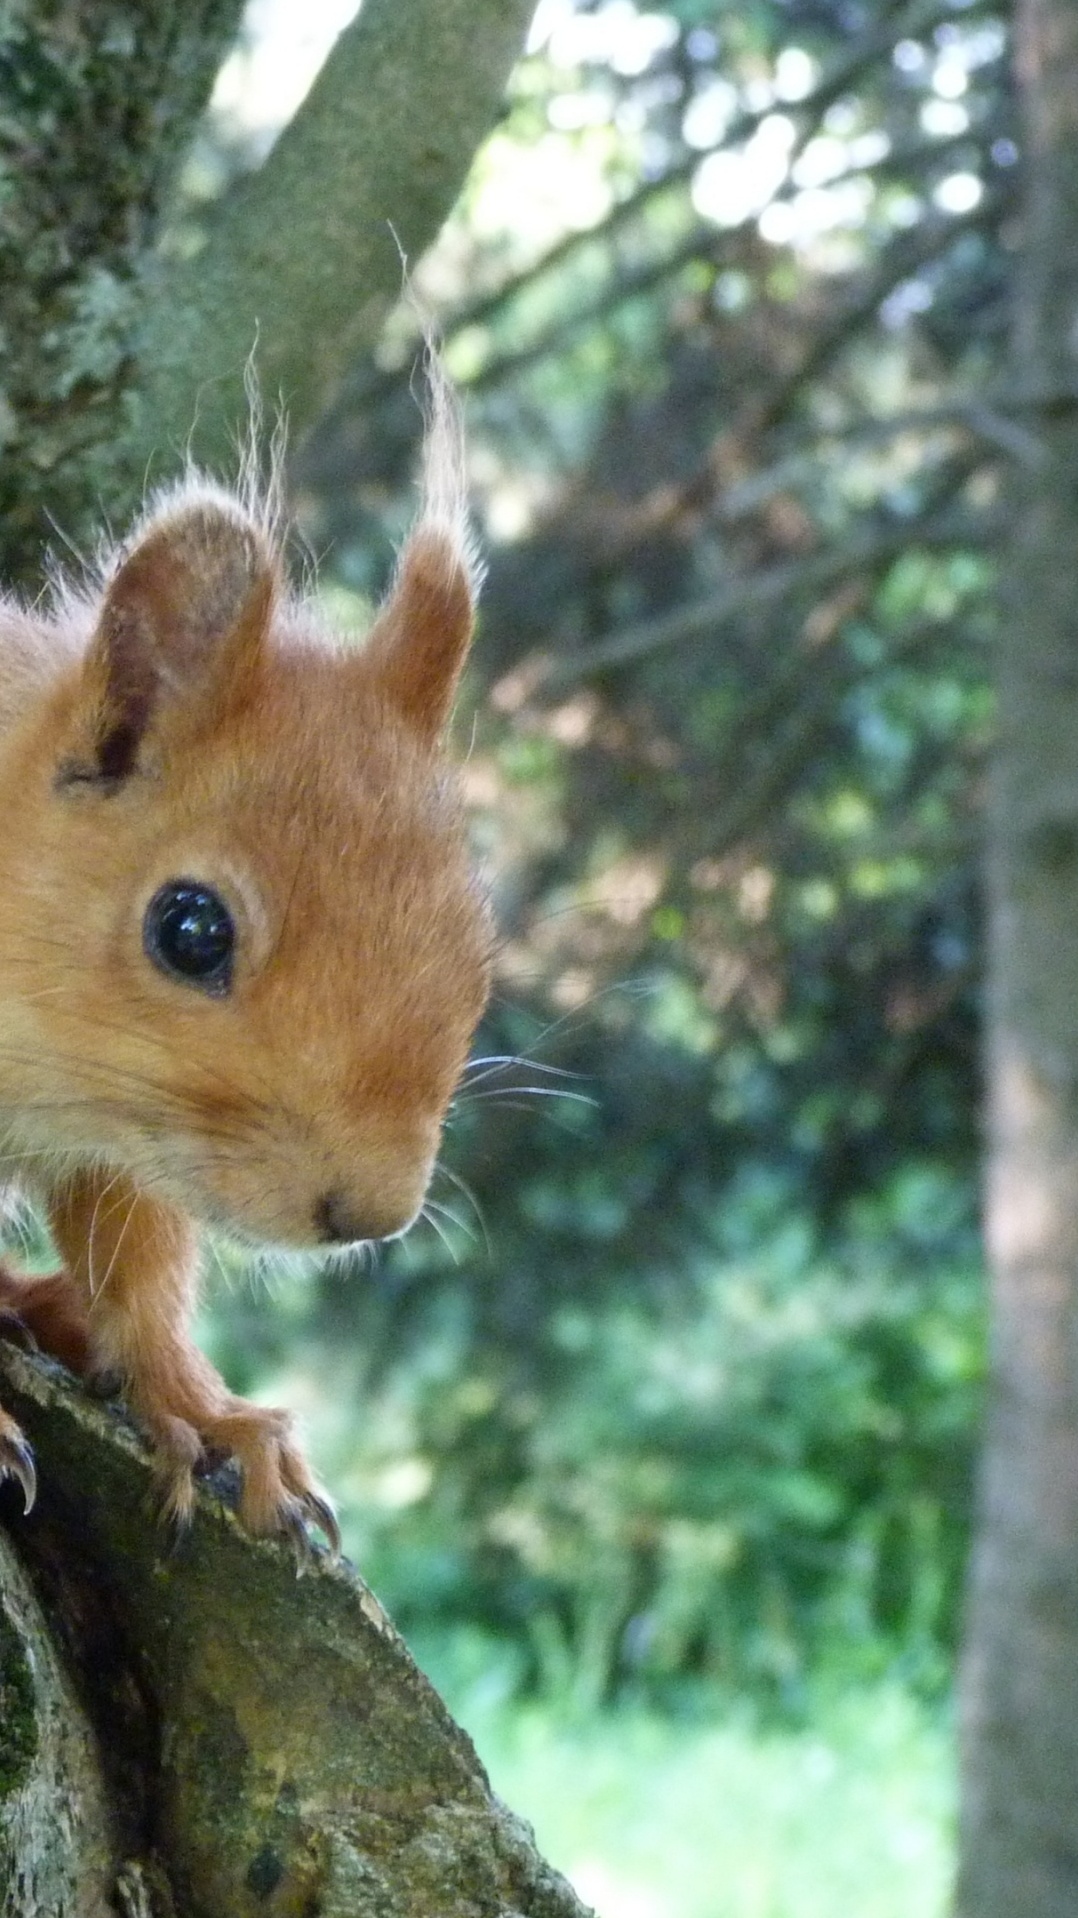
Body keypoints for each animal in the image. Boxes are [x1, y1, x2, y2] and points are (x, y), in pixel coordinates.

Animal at [0, 366, 491, 1549]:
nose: (372, 1215)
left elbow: (135, 1267)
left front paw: (204, 1412)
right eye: (190, 930)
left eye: (476, 937)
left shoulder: (122, 1147)